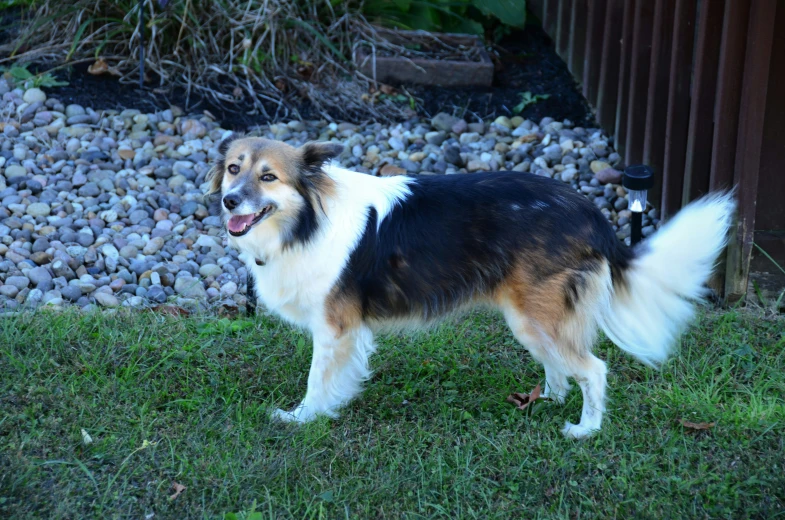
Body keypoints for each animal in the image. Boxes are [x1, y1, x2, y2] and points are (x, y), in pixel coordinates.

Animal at [207, 135, 736, 438]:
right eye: (234, 168)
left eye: (268, 176)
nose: (230, 201)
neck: (308, 219)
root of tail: (592, 214)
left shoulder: (334, 328)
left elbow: (317, 380)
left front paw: (302, 419)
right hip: (529, 318)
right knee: (563, 367)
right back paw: (548, 398)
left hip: (537, 316)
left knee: (594, 369)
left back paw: (585, 430)